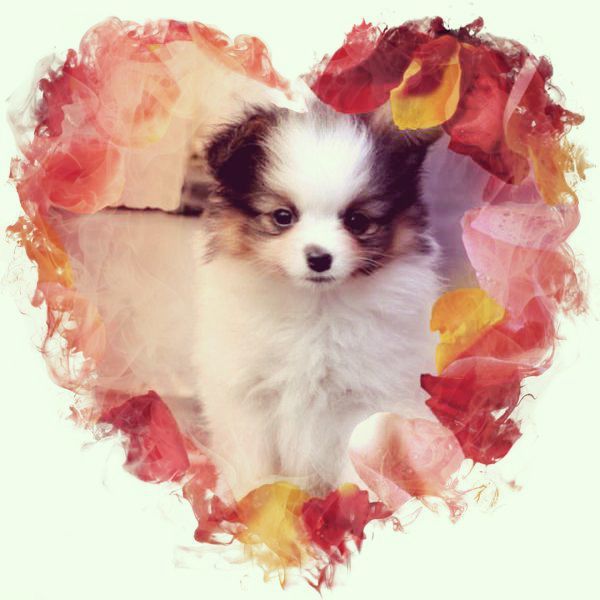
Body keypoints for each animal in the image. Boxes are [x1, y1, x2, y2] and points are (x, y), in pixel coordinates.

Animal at [188, 97, 442, 498]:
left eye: (356, 221)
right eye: (282, 216)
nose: (320, 258)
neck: (315, 307)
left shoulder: (365, 399)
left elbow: (358, 468)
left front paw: (358, 506)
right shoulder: (249, 398)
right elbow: (255, 465)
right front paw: (252, 501)